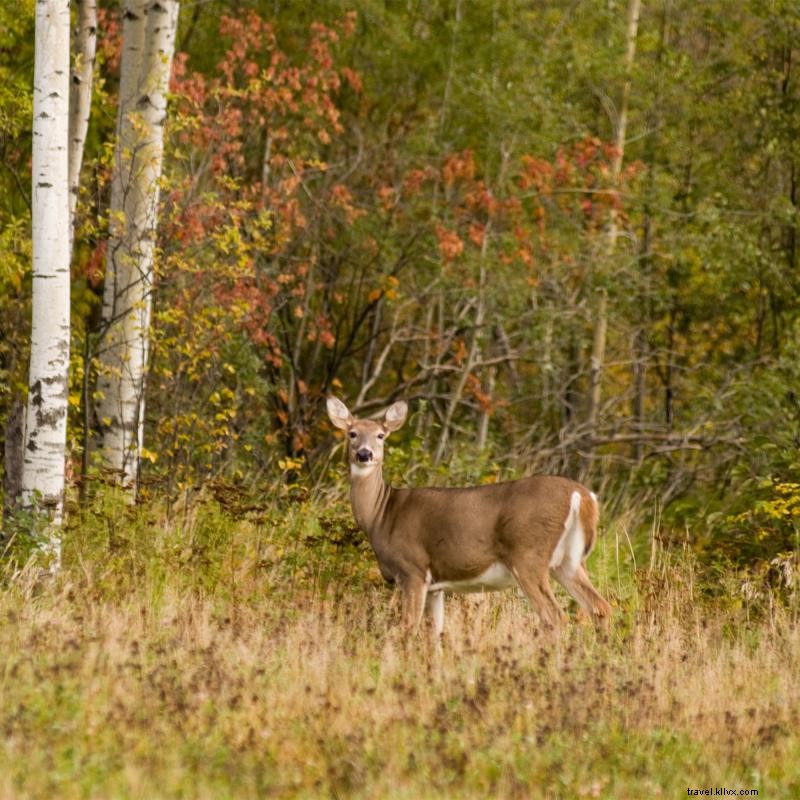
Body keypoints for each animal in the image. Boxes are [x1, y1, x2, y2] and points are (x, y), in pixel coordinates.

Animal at [326, 396, 612, 640]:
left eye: (381, 435)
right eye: (352, 433)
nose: (365, 454)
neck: (381, 515)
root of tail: (582, 495)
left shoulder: (413, 569)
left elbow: (407, 626)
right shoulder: (436, 586)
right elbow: (434, 634)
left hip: (528, 556)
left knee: (554, 616)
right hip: (568, 561)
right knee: (600, 607)